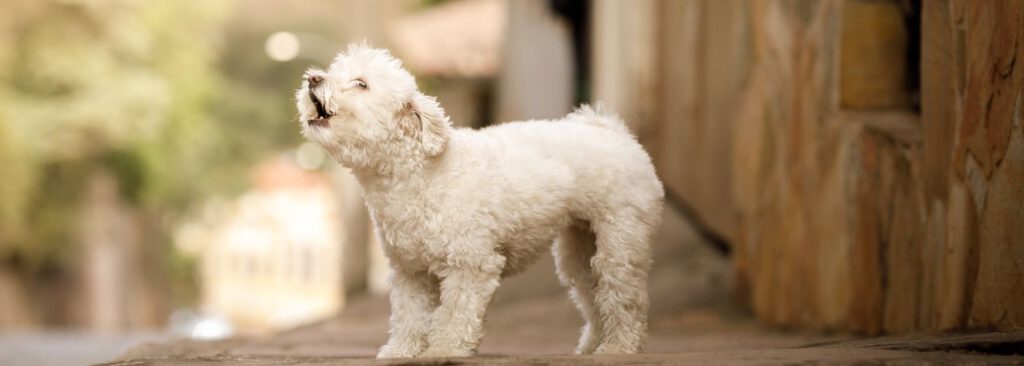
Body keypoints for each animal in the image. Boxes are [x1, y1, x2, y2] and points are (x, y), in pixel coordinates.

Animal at [296, 44, 663, 356]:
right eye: (332, 72)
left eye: (361, 84)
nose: (313, 77)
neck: (420, 175)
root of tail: (614, 133)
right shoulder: (410, 273)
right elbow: (409, 317)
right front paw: (401, 351)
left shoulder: (471, 265)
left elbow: (455, 314)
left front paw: (444, 350)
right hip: (580, 250)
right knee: (591, 292)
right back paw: (592, 345)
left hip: (620, 241)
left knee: (624, 296)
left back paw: (619, 347)